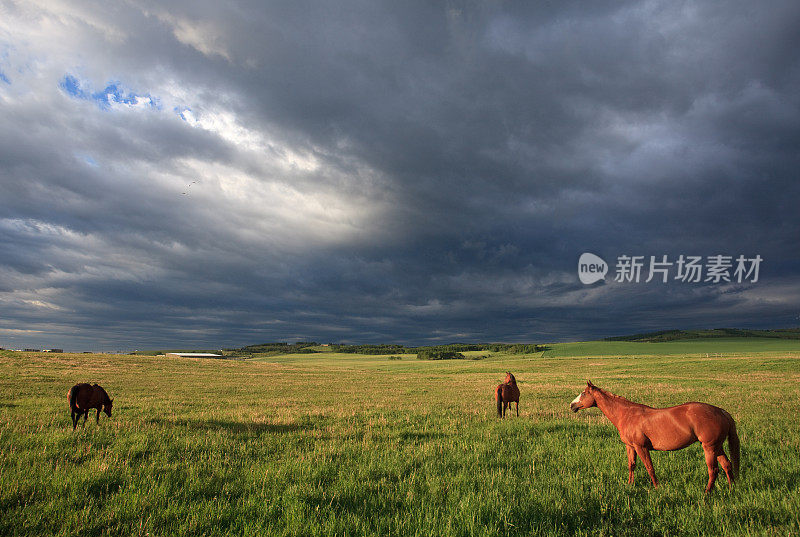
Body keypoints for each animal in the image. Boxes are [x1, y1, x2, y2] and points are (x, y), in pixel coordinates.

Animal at [568, 378, 736, 492]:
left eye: (583, 393)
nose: (572, 405)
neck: (626, 414)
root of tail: (721, 411)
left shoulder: (641, 447)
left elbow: (649, 467)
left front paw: (657, 487)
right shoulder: (630, 446)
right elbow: (631, 465)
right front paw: (630, 484)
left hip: (709, 447)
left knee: (713, 470)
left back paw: (707, 493)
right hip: (716, 447)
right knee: (727, 465)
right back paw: (731, 488)